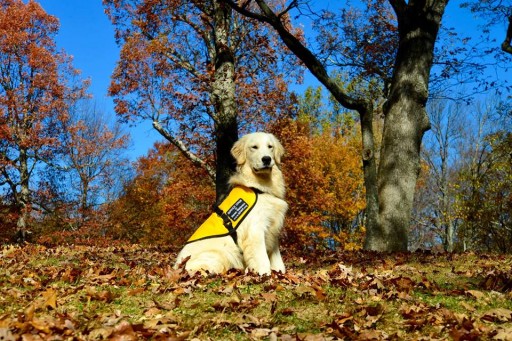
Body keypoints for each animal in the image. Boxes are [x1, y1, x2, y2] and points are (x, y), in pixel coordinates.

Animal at [176, 131, 288, 274]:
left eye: (270, 147)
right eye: (254, 147)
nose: (267, 159)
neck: (260, 187)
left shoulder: (273, 230)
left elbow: (279, 263)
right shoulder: (255, 231)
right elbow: (263, 261)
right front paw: (264, 275)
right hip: (222, 252)